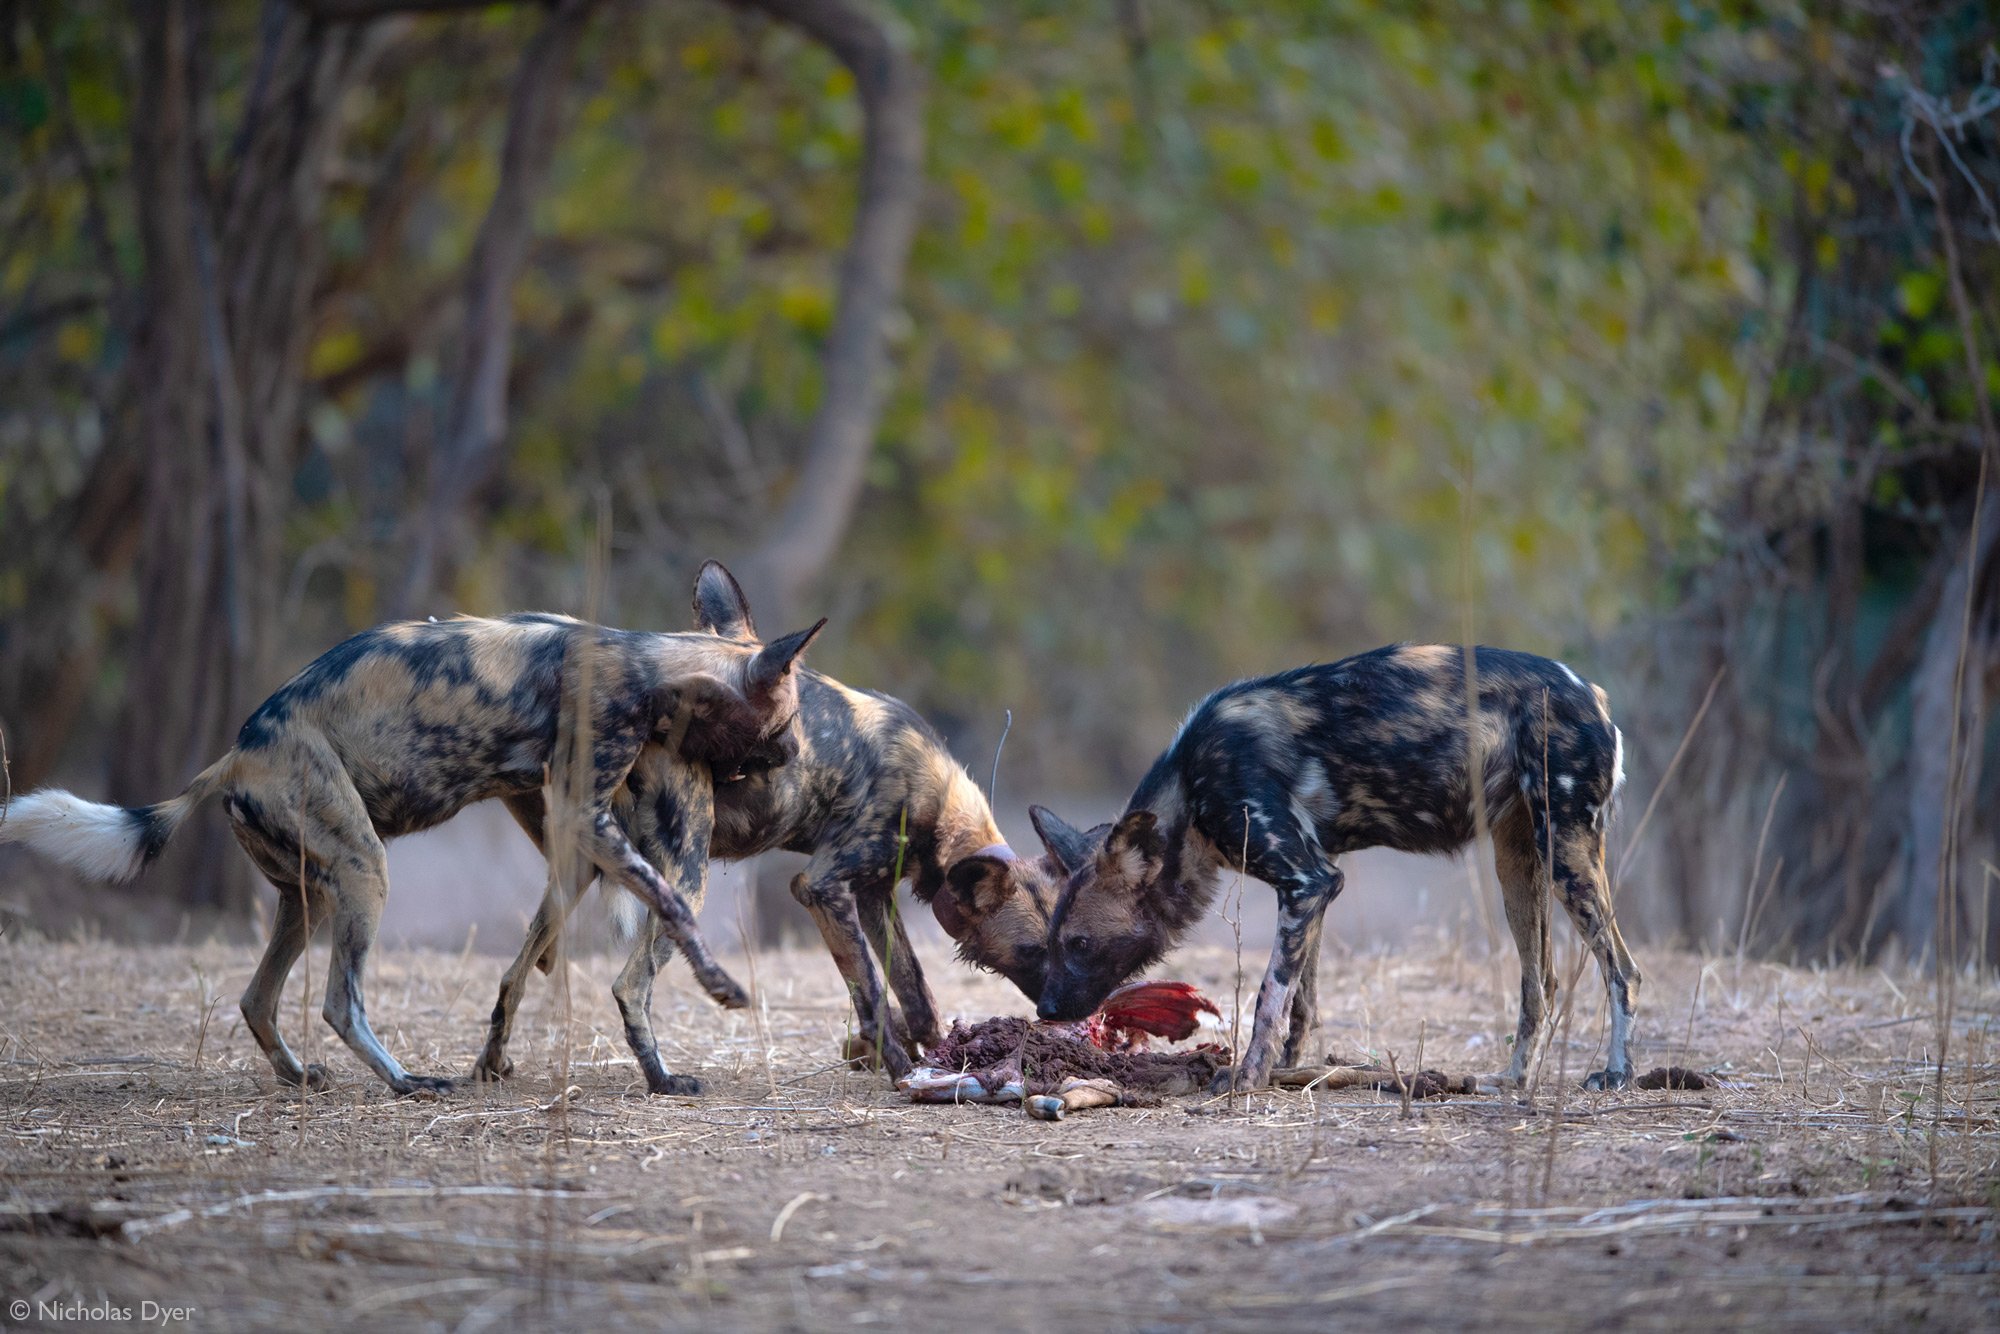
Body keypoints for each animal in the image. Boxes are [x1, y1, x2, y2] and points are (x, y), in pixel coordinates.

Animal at [0, 588, 820, 1104]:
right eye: (787, 721)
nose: (799, 757)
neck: (653, 666)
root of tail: (233, 757)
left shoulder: (559, 818)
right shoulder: (587, 814)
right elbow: (670, 903)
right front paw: (717, 983)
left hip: (309, 894)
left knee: (259, 997)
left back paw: (301, 1077)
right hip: (365, 873)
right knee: (340, 1003)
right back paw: (404, 1083)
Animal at [476, 560, 1080, 1088]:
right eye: (1033, 951)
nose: (1062, 1010)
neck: (934, 797)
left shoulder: (871, 895)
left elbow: (915, 992)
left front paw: (934, 1052)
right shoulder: (822, 888)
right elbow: (871, 993)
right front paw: (901, 1070)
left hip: (582, 871)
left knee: (513, 975)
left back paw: (491, 1067)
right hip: (683, 882)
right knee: (629, 986)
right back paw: (663, 1081)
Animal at [1032, 648, 1640, 1096]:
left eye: (1080, 943)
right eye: (1053, 942)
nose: (1045, 1009)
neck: (1190, 788)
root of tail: (1594, 695)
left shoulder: (1307, 882)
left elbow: (1268, 997)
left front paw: (1247, 1079)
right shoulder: (1314, 885)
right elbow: (1301, 1002)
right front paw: (1283, 1071)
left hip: (1566, 858)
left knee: (1623, 971)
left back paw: (1616, 1074)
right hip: (1517, 867)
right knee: (1540, 984)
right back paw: (1512, 1078)